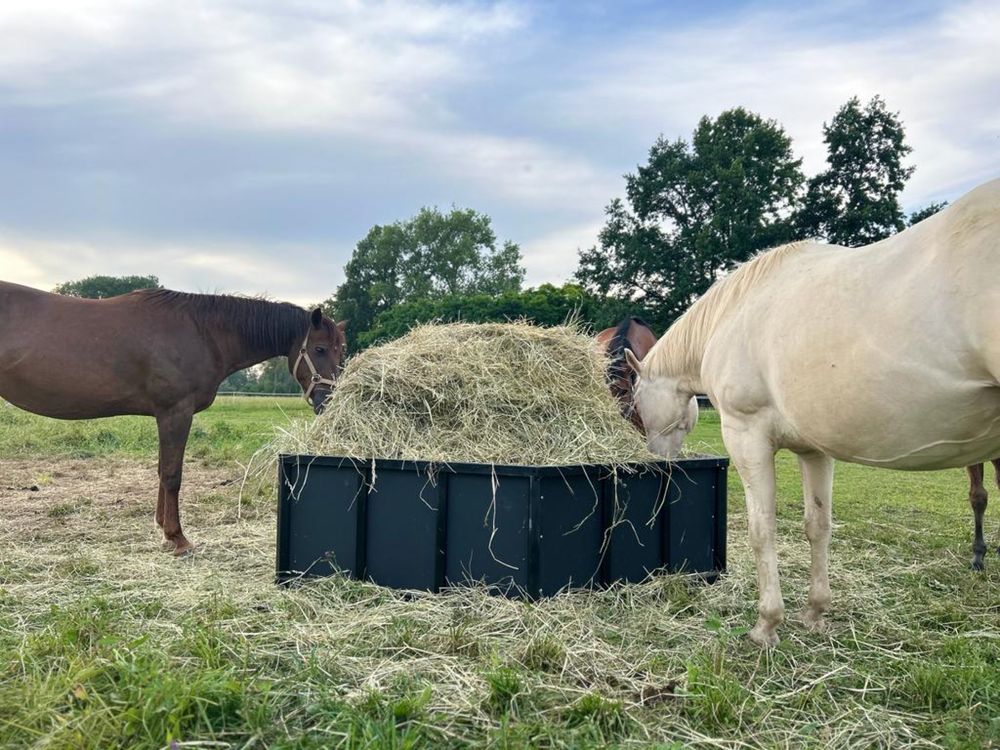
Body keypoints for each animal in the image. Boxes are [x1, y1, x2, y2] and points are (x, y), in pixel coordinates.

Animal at [0, 282, 348, 560]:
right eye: (319, 349)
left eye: (340, 351)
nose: (329, 401)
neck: (202, 332)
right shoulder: (175, 412)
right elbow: (172, 475)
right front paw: (177, 538)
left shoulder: (166, 415)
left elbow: (161, 470)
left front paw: (162, 528)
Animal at [624, 179, 1000, 648]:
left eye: (638, 406)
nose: (657, 460)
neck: (731, 315)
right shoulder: (815, 451)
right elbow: (817, 526)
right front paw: (815, 612)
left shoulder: (747, 437)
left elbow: (762, 529)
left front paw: (766, 624)